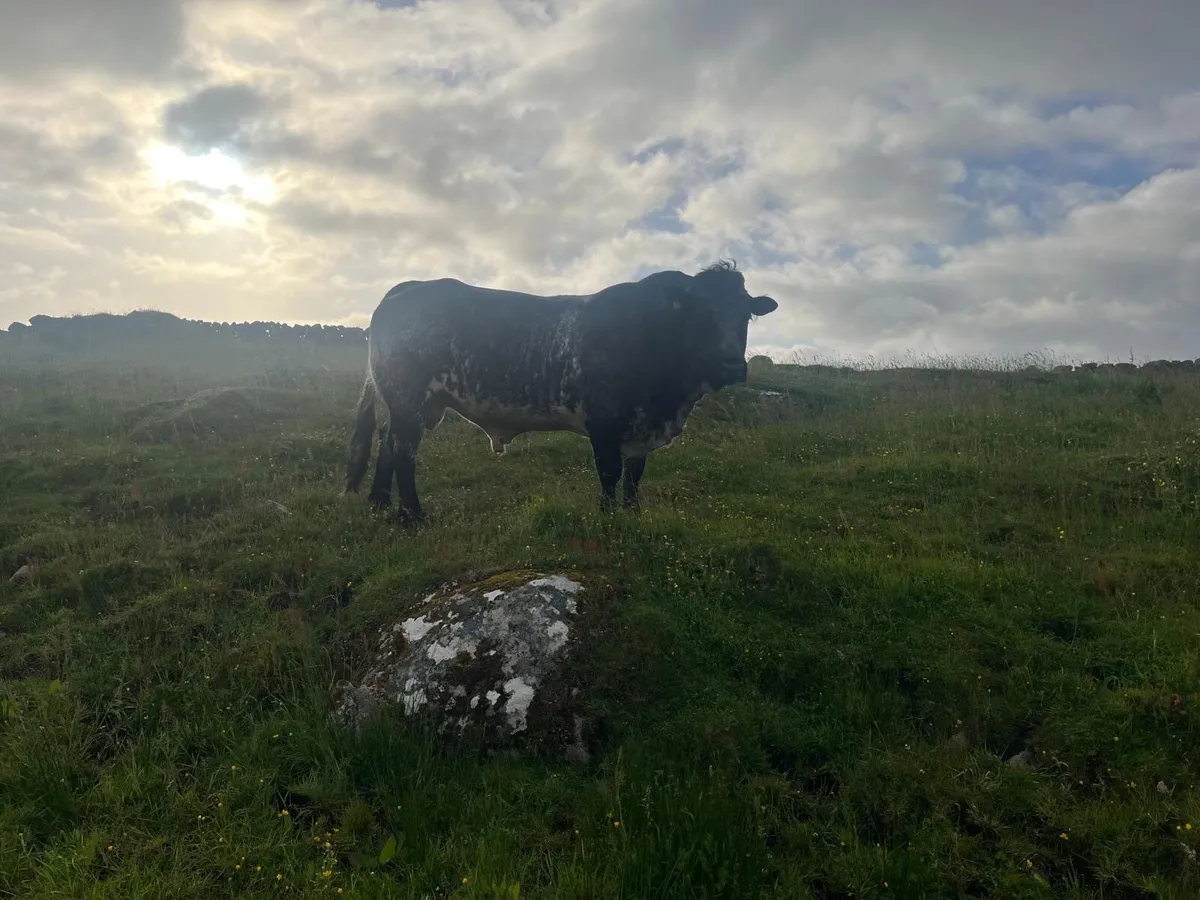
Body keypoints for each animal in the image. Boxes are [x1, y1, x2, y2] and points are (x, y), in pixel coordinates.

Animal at [343, 260, 778, 525]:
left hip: (407, 404)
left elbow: (634, 476)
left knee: (387, 441)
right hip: (409, 398)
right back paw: (413, 517)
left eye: (745, 314)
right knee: (403, 451)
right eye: (699, 313)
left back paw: (381, 503)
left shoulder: (640, 430)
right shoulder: (604, 422)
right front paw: (608, 518)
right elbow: (610, 472)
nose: (731, 366)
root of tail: (408, 288)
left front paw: (633, 514)